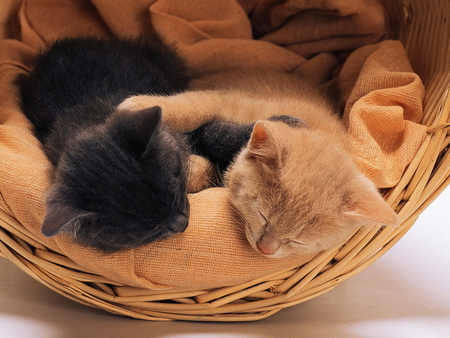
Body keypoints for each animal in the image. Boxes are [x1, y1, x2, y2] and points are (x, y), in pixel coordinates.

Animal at [118, 69, 400, 258]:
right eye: (263, 215)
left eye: (297, 241)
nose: (266, 249)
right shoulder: (228, 99)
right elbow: (194, 107)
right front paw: (137, 105)